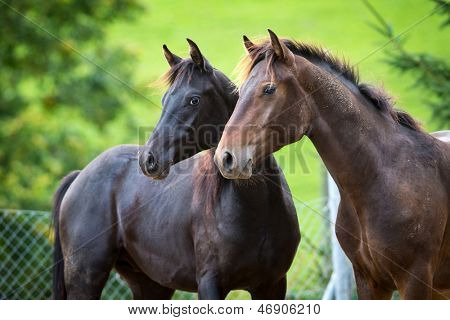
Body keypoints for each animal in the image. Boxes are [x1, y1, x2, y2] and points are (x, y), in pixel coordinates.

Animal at [51, 40, 298, 300]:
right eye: (163, 100)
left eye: (194, 100)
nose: (148, 159)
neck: (256, 209)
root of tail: (80, 176)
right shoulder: (210, 285)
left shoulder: (272, 286)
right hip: (86, 281)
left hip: (150, 286)